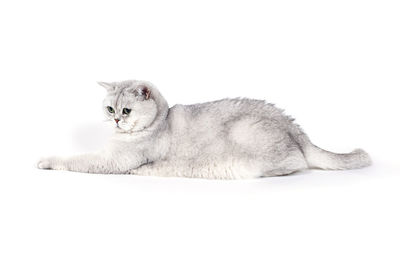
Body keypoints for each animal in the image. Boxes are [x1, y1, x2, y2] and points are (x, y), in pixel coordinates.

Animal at [37, 79, 372, 180]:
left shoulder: (110, 160)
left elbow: (75, 159)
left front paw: (45, 160)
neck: (160, 121)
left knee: (295, 163)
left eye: (126, 110)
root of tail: (297, 131)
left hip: (247, 135)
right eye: (110, 109)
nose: (117, 120)